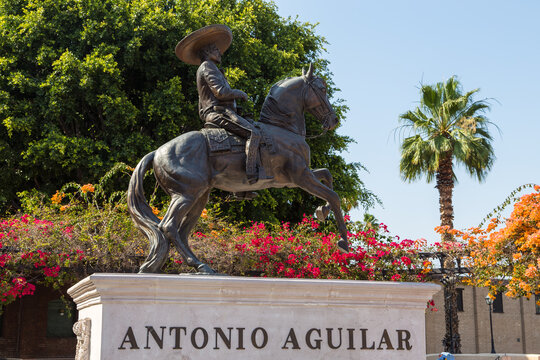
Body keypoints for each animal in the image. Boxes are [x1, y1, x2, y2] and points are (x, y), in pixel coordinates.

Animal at [129, 64, 352, 272]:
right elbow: (333, 196)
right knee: (168, 226)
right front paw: (343, 243)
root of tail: (156, 152)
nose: (334, 120)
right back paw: (198, 265)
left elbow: (327, 175)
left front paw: (322, 210)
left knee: (181, 231)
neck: (282, 129)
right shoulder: (301, 177)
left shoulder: (293, 180)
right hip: (186, 196)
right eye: (322, 88)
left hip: (199, 197)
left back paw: (199, 266)